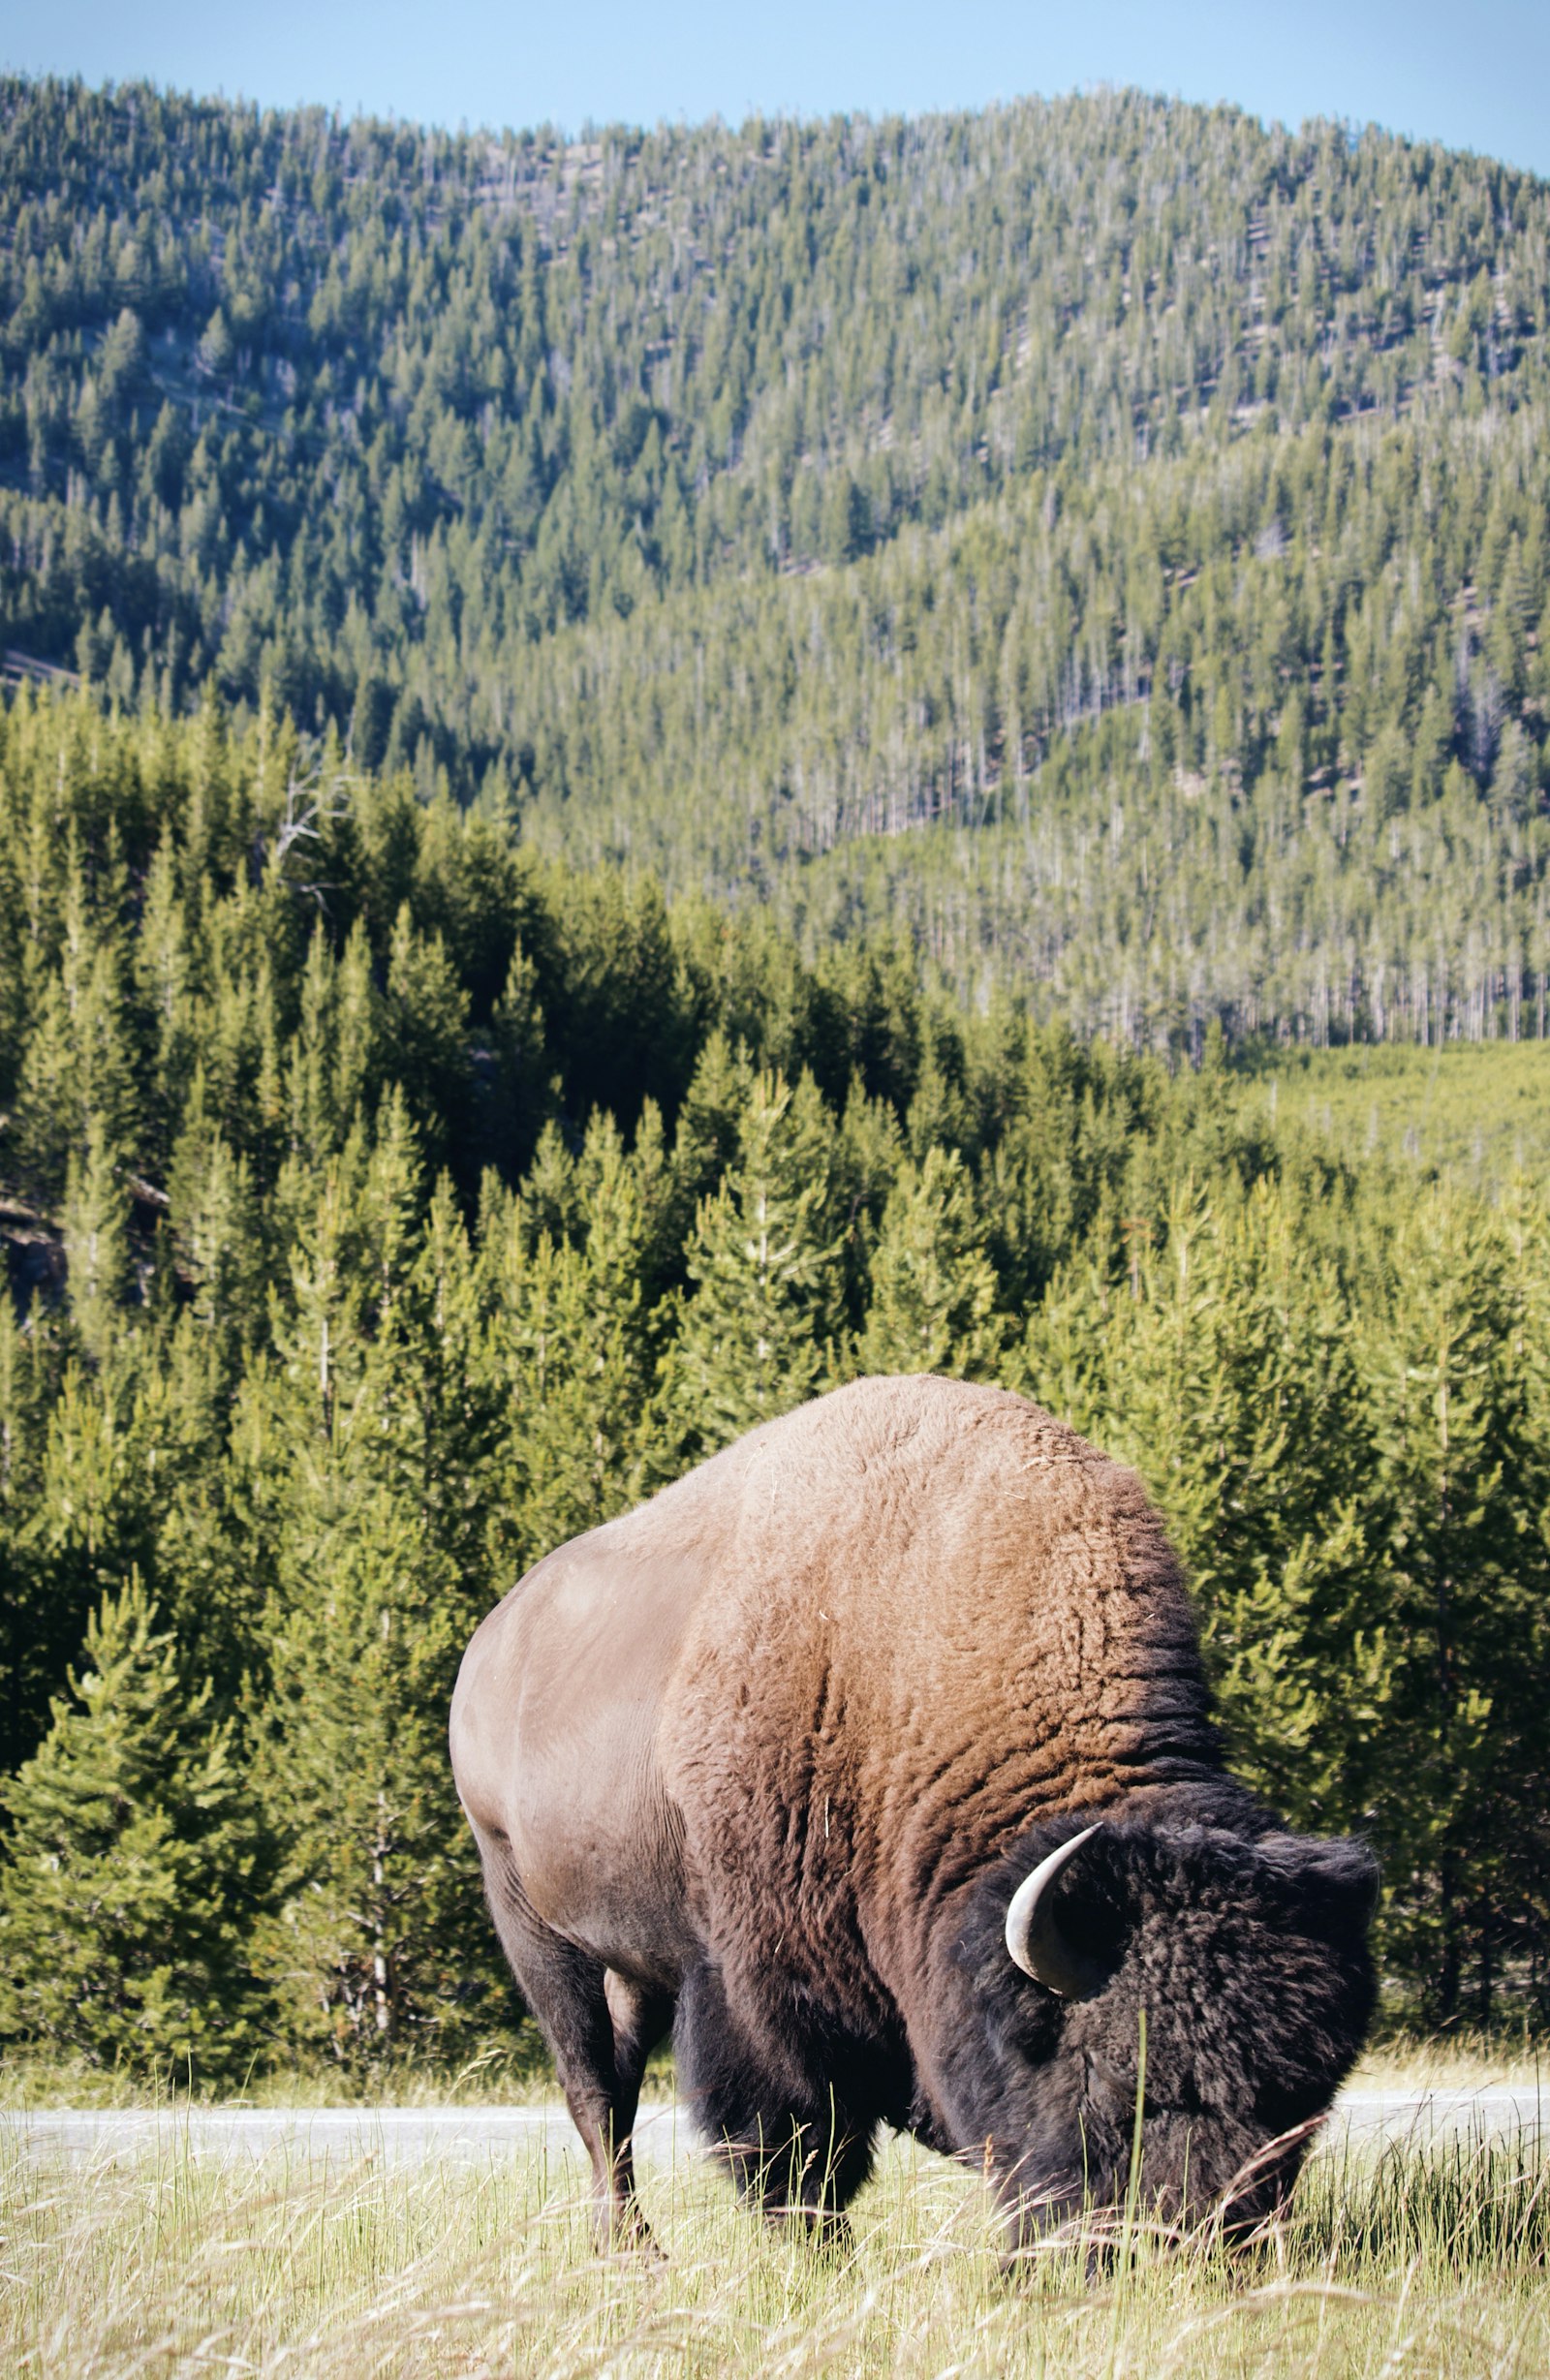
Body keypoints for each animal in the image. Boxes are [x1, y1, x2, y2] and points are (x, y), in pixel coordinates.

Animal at [445, 1380, 1371, 2246]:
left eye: (1310, 2097)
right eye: (1118, 2077)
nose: (1207, 2238)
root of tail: (487, 1649)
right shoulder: (756, 1990)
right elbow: (797, 2149)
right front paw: (819, 2256)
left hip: (631, 1961)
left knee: (622, 2085)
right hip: (534, 1926)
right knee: (596, 2092)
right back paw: (638, 2253)